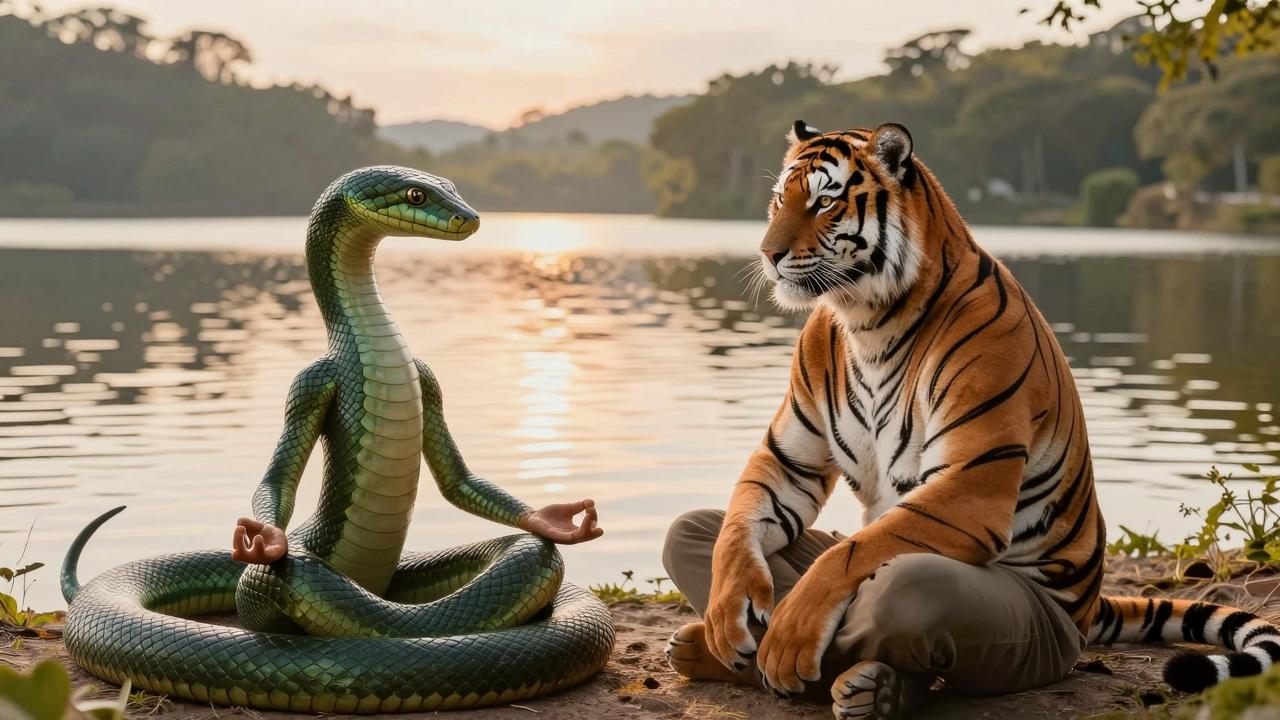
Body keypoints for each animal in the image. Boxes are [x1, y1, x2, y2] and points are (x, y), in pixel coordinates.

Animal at [660, 120, 1280, 719]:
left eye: (825, 202)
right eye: (778, 200)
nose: (768, 254)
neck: (868, 318)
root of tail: (1086, 607)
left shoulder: (967, 485)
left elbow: (846, 555)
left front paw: (787, 636)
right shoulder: (789, 459)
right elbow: (735, 530)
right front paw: (729, 611)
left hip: (1025, 625)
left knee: (908, 591)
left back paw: (867, 687)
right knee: (690, 528)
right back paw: (703, 648)